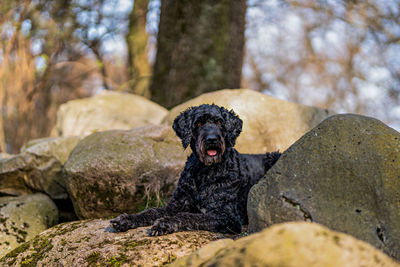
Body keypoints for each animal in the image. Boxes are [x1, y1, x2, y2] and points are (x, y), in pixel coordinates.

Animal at [106, 104, 282, 237]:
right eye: (198, 124)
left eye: (220, 123)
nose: (212, 139)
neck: (205, 171)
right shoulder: (174, 205)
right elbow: (151, 211)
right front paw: (126, 219)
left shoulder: (226, 216)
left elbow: (189, 216)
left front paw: (164, 223)